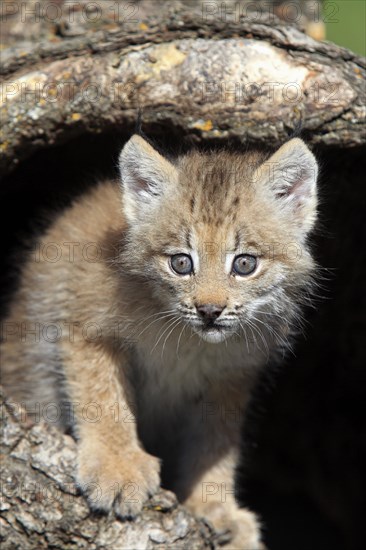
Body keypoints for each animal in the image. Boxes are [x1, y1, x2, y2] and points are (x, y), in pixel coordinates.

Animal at [1, 135, 318, 550]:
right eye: (181, 263)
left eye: (245, 264)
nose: (209, 310)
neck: (189, 337)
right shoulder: (86, 326)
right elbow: (104, 401)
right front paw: (117, 469)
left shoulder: (233, 375)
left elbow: (215, 443)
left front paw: (213, 505)